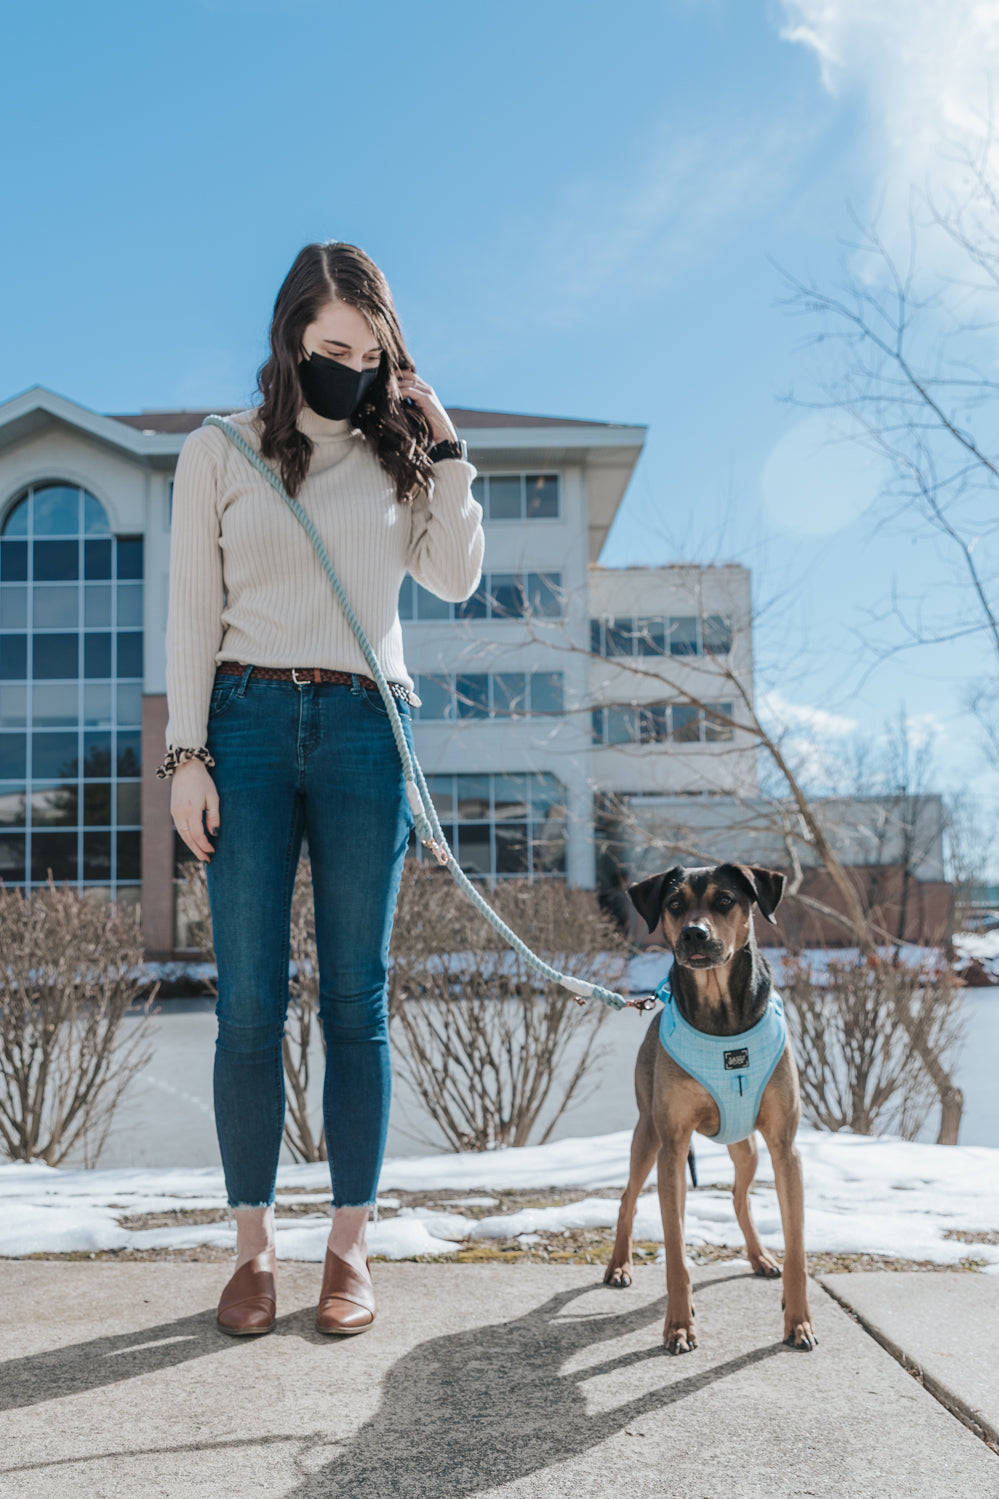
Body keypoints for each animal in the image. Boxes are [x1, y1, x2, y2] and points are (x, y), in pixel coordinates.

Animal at [603, 863, 816, 1355]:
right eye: (674, 904)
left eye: (725, 900)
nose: (694, 934)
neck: (723, 1017)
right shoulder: (672, 1145)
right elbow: (675, 1252)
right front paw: (679, 1326)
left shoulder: (785, 1147)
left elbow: (797, 1246)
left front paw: (797, 1322)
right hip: (650, 1137)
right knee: (629, 1199)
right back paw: (620, 1266)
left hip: (747, 1147)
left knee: (738, 1197)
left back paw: (760, 1257)